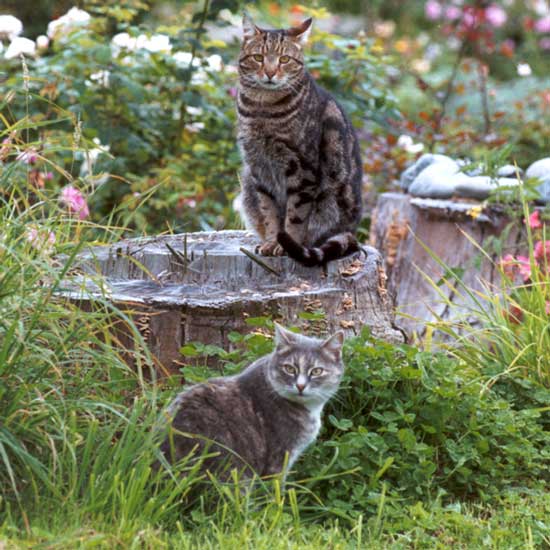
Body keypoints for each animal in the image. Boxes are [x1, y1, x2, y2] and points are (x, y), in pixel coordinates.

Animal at [236, 14, 362, 268]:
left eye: (284, 59)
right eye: (258, 58)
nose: (270, 73)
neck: (262, 109)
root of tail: (352, 232)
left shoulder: (302, 170)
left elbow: (295, 217)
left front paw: (285, 245)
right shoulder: (259, 170)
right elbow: (270, 212)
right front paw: (271, 242)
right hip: (247, 185)